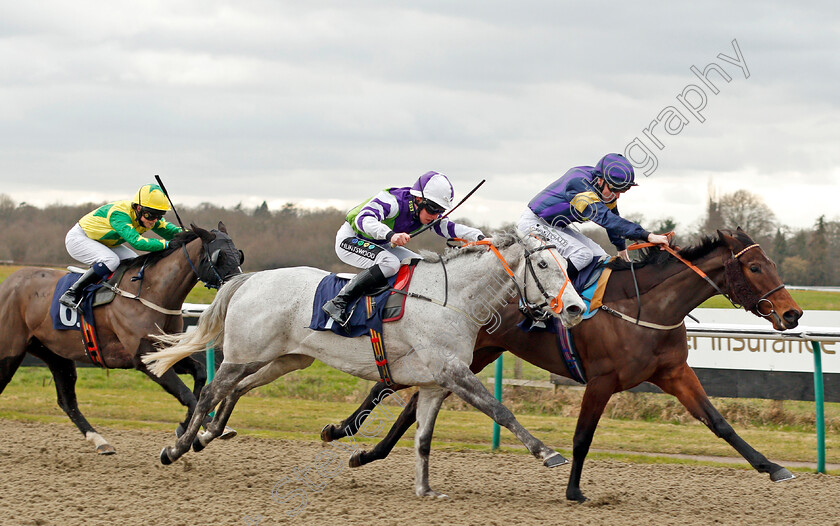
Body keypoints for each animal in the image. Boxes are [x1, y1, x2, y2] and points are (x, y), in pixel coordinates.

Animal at [0, 223, 243, 454]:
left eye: (238, 254)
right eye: (219, 256)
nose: (239, 285)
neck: (149, 292)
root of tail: (8, 283)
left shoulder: (164, 350)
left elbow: (200, 375)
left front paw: (187, 427)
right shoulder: (145, 358)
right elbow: (185, 394)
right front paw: (205, 430)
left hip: (55, 354)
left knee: (67, 401)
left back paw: (101, 442)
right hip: (10, 351)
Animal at [320, 230, 800, 504]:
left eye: (772, 263)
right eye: (754, 266)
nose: (792, 314)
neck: (645, 307)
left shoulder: (674, 373)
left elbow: (720, 423)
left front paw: (773, 467)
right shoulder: (602, 380)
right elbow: (583, 436)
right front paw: (573, 490)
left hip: (467, 356)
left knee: (410, 405)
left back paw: (364, 452)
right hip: (462, 355)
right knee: (395, 394)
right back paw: (345, 433)